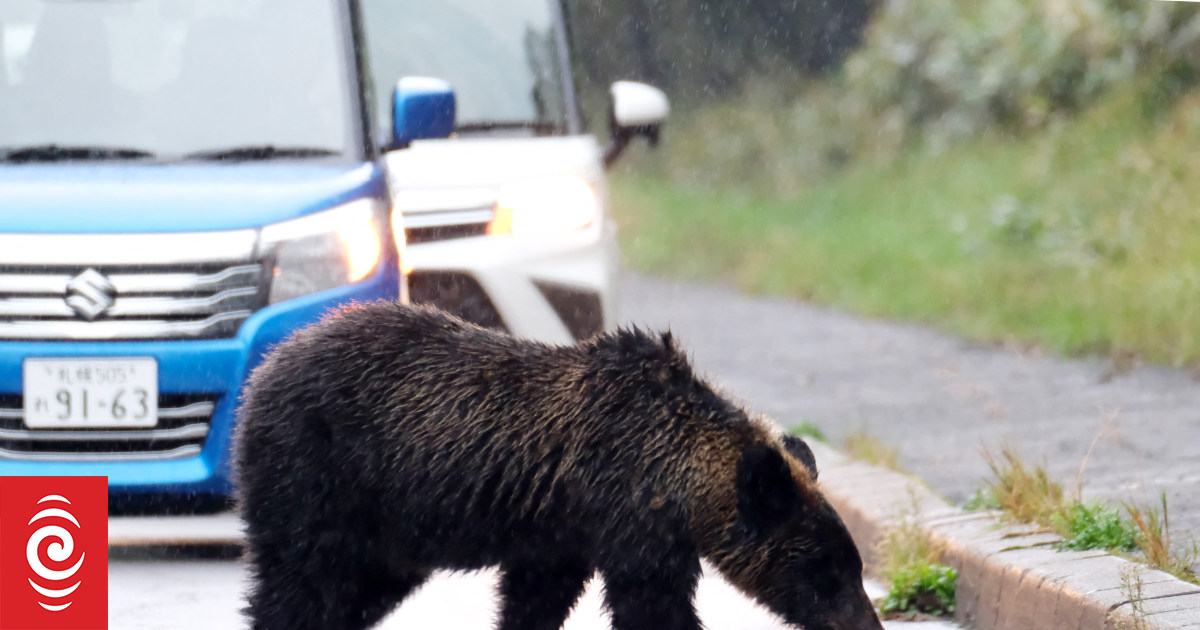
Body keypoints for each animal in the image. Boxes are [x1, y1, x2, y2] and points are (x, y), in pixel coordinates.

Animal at [234, 302, 883, 630]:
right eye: (829, 572)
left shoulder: (560, 533)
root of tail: (265, 368)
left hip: (389, 536)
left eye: (852, 567)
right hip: (318, 477)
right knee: (299, 588)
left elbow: (536, 599)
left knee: (351, 595)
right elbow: (651, 603)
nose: (868, 626)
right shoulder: (627, 516)